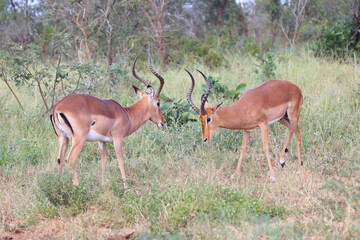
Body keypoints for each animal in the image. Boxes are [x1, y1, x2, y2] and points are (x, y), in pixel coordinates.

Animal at [50, 55, 166, 187]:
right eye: (158, 103)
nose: (163, 121)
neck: (126, 114)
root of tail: (57, 107)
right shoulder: (117, 137)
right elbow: (120, 159)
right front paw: (126, 186)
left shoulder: (101, 141)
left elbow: (104, 160)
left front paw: (103, 183)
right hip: (79, 139)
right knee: (70, 160)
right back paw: (77, 186)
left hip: (63, 138)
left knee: (60, 160)